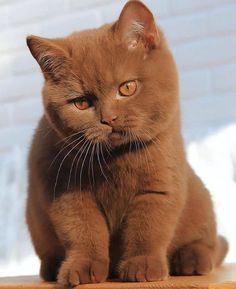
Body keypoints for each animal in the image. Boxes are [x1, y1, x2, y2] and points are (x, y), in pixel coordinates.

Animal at [25, 0, 229, 284]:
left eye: (128, 88)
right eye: (81, 103)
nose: (108, 119)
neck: (116, 158)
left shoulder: (159, 185)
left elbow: (147, 228)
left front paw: (142, 265)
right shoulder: (66, 192)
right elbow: (82, 231)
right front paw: (83, 266)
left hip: (200, 198)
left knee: (211, 243)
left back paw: (191, 259)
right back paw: (52, 267)